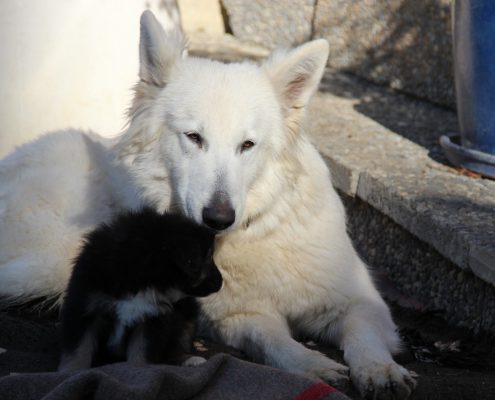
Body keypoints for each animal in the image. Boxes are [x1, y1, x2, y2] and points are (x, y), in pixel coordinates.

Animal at [57, 208, 222, 370]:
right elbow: (78, 350)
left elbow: (140, 355)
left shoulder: (151, 318)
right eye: (208, 258)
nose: (220, 282)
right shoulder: (84, 306)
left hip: (187, 314)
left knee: (180, 344)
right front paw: (71, 372)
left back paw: (190, 359)